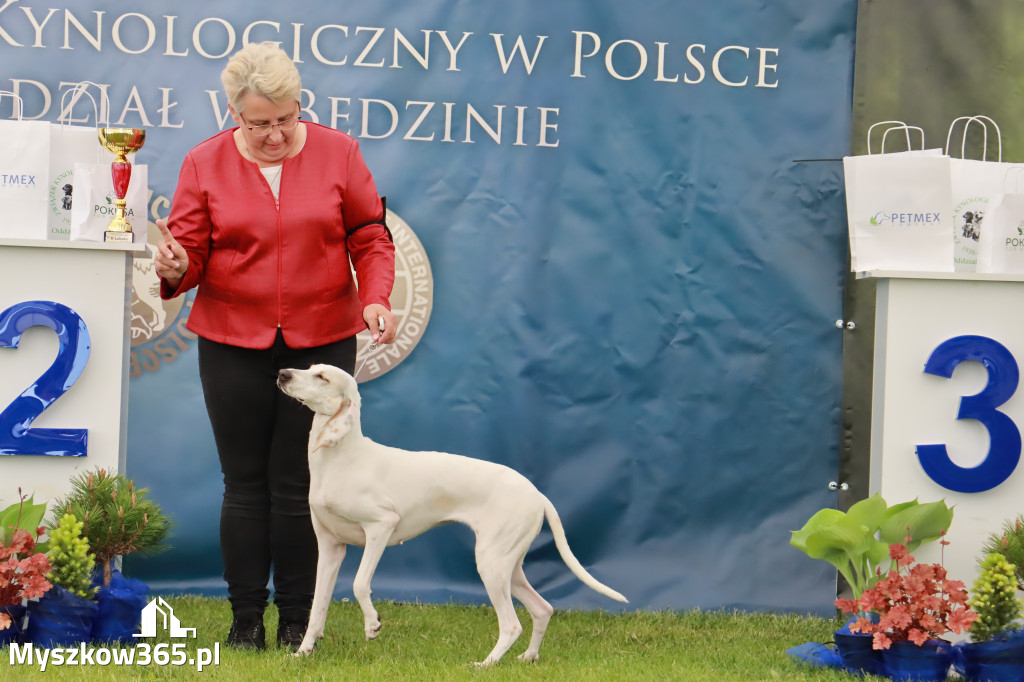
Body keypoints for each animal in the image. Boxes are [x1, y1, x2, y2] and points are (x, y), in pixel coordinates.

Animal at [280, 364, 626, 659]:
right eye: (309, 367)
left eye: (322, 377)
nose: (283, 373)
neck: (341, 457)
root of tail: (537, 494)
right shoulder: (330, 547)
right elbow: (318, 606)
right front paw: (303, 653)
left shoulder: (381, 526)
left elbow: (359, 584)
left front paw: (372, 624)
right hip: (509, 566)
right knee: (543, 609)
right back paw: (528, 657)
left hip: (491, 564)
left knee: (512, 624)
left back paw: (486, 664)